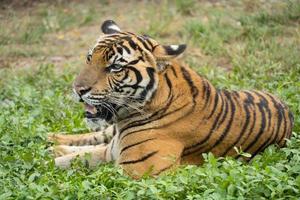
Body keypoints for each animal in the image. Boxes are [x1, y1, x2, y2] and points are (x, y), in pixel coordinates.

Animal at [48, 19, 294, 178]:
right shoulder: (116, 151)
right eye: (89, 58)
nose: (78, 89)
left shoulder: (137, 171)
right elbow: (77, 157)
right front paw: (48, 158)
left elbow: (84, 162)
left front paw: (48, 160)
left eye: (115, 67)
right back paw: (51, 139)